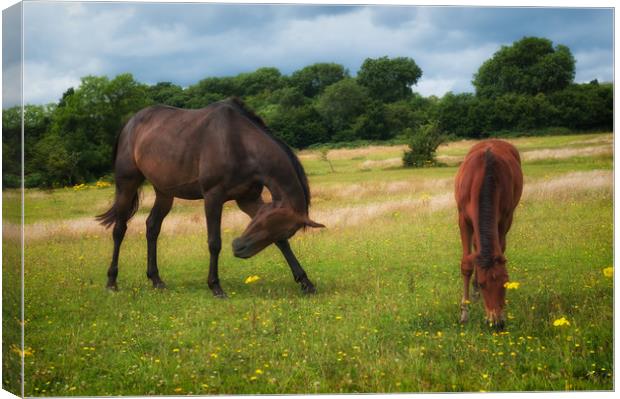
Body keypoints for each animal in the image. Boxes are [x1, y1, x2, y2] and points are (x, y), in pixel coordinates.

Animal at [97, 98, 324, 298]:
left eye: (284, 230)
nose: (239, 247)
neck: (239, 142)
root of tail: (130, 123)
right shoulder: (213, 196)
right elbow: (214, 242)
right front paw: (215, 286)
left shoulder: (248, 199)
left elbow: (282, 244)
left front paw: (306, 282)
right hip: (127, 183)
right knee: (119, 230)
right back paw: (111, 282)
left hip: (164, 192)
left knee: (152, 227)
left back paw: (156, 280)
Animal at [456, 139, 524, 330]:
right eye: (484, 284)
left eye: (506, 283)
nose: (497, 323)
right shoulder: (463, 218)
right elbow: (466, 264)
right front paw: (464, 314)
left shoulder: (505, 218)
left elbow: (499, 247)